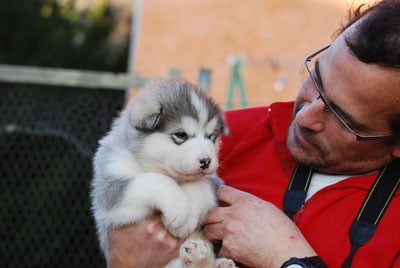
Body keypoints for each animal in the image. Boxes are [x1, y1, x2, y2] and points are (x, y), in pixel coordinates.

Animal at [90, 79, 238, 268]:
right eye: (180, 135)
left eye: (210, 136)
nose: (206, 160)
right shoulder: (110, 190)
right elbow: (151, 180)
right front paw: (178, 209)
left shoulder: (215, 181)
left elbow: (200, 184)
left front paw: (189, 216)